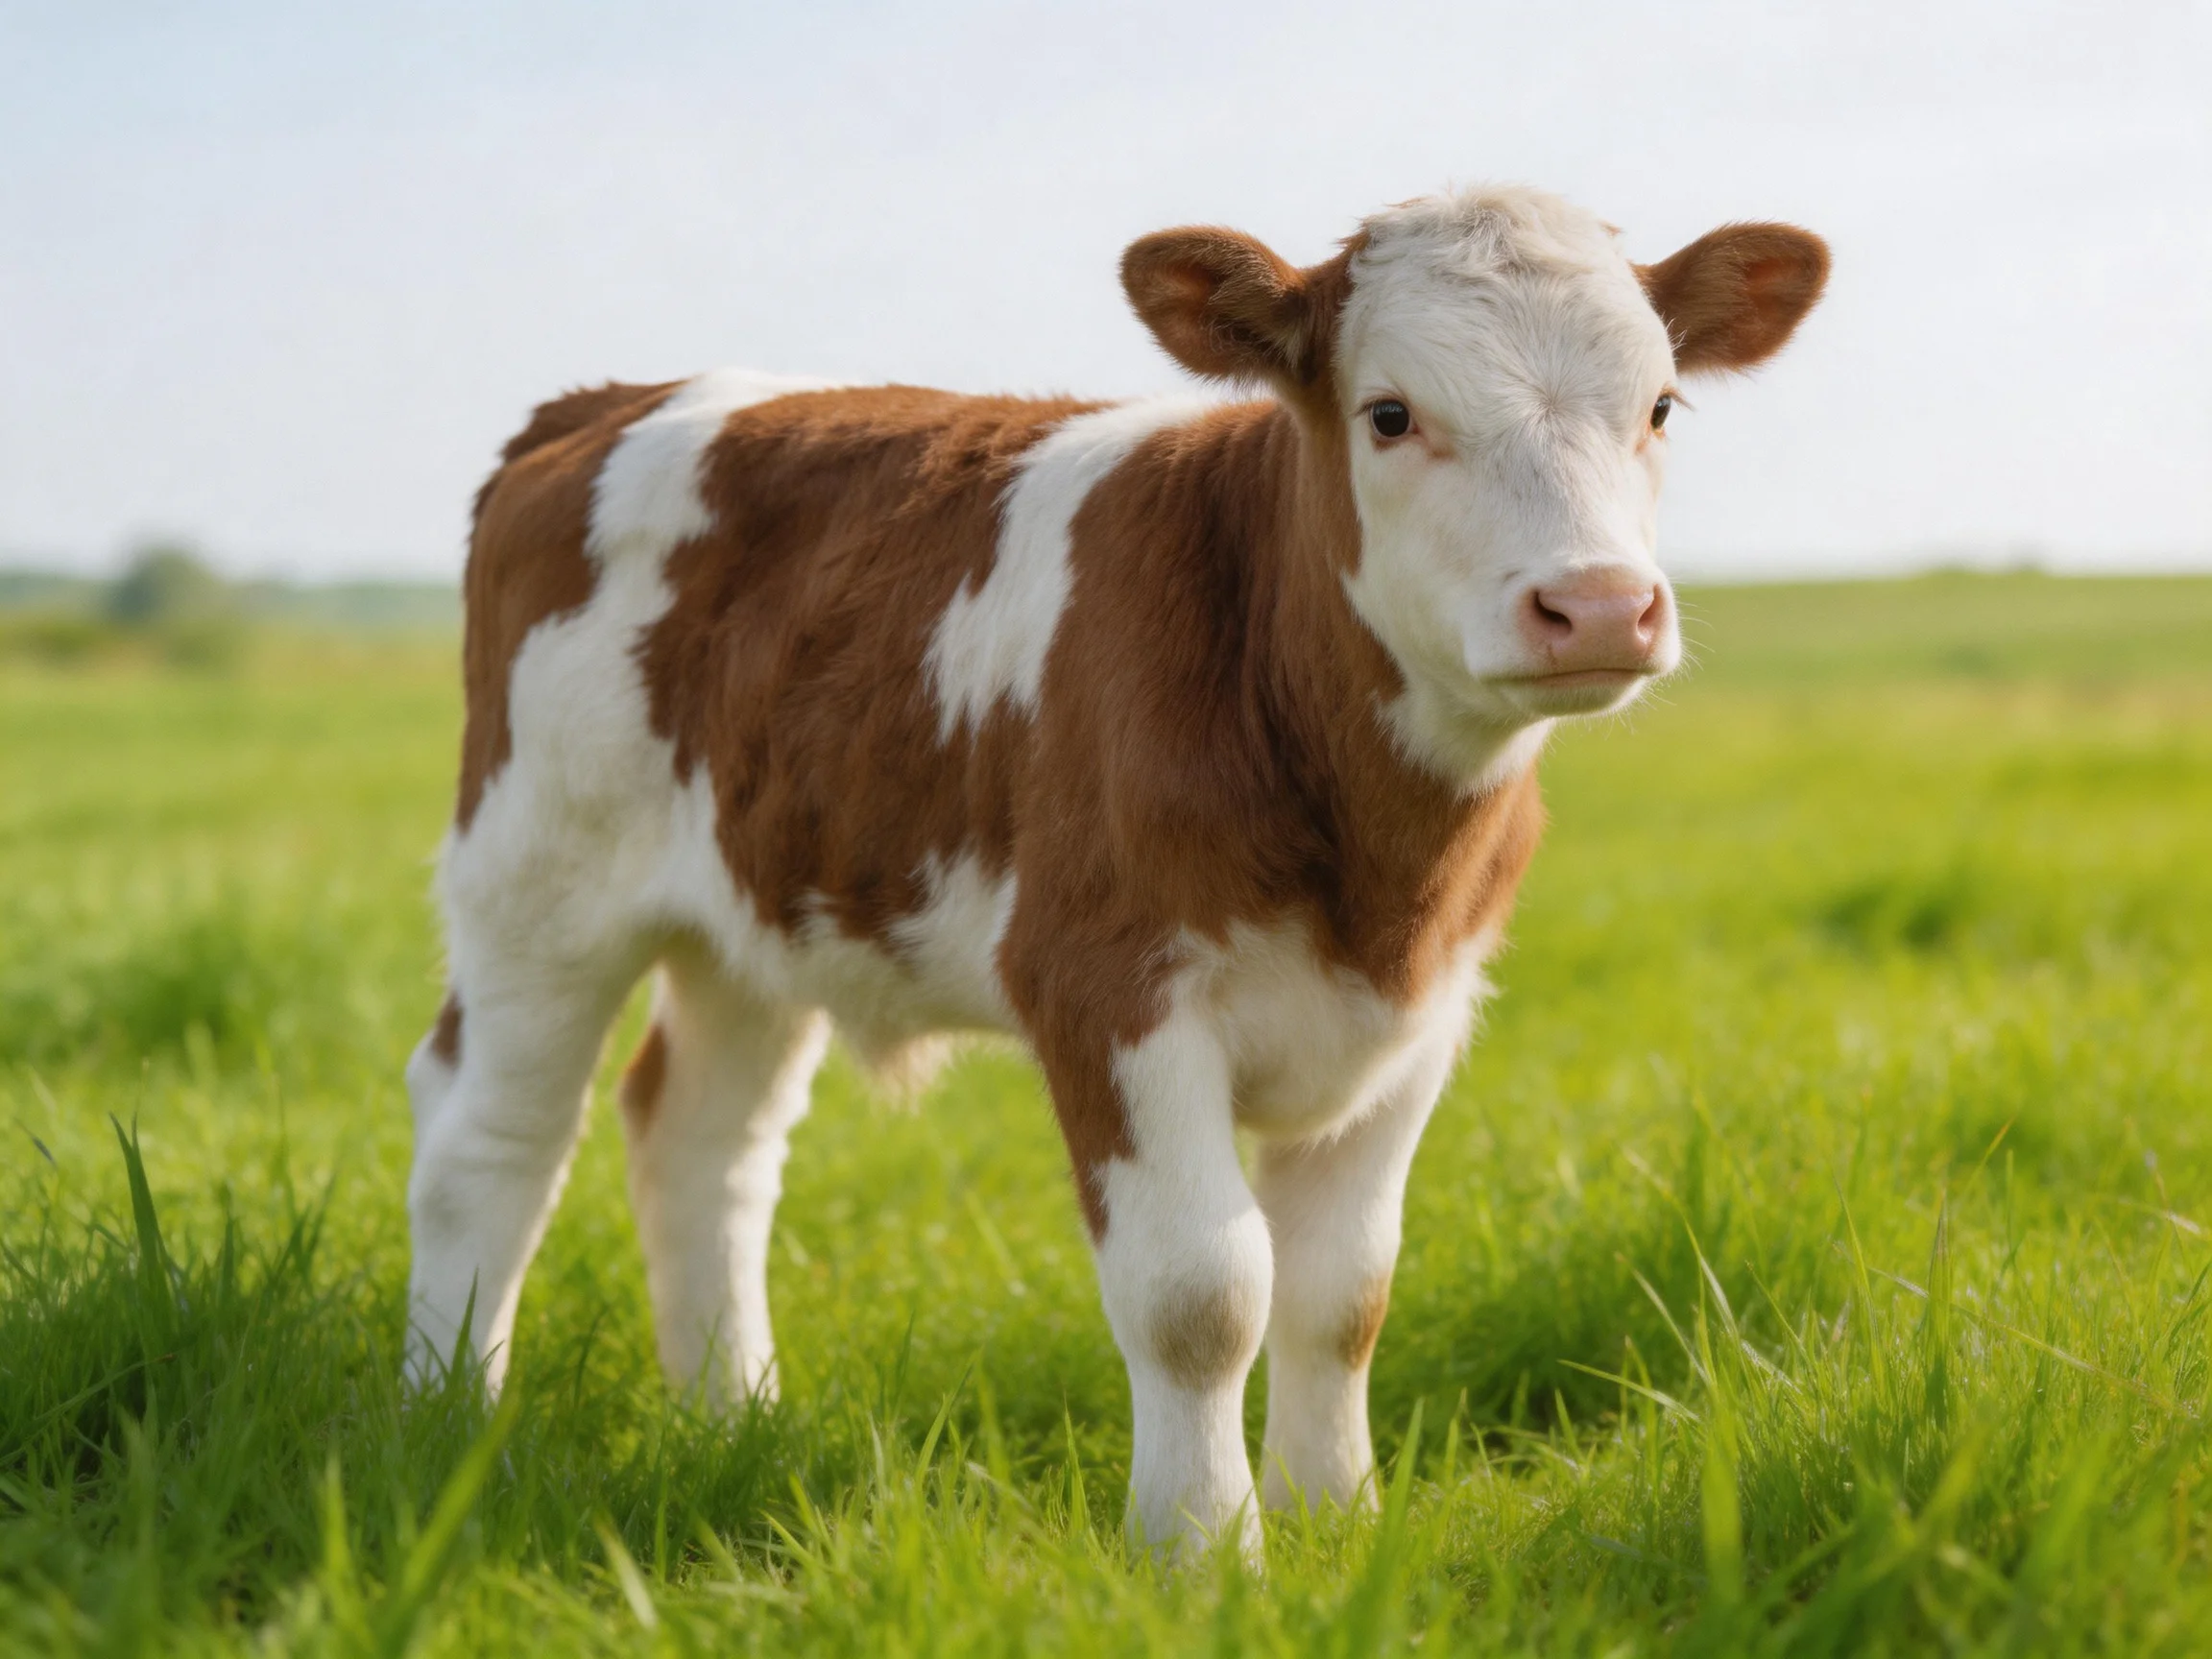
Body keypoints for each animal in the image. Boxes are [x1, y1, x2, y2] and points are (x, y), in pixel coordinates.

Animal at [403, 184, 1827, 1556]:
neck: (1373, 866)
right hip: (536, 880)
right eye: (1391, 414)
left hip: (754, 915)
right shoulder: (1105, 985)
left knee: (704, 1143)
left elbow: (1343, 1292)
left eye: (1659, 405)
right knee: (490, 1139)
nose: (1597, 606)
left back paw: (729, 1422)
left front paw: (1336, 1521)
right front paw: (1203, 1552)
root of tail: (606, 401)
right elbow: (1203, 1293)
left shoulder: (1426, 1013)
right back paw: (448, 1427)